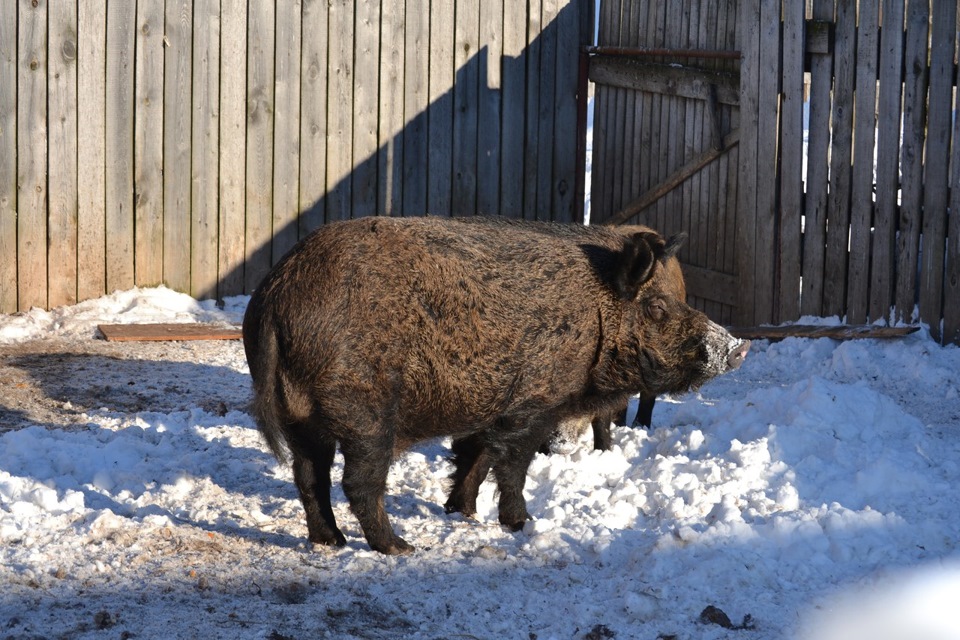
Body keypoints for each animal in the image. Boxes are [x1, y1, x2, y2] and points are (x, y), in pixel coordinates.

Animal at [242, 216, 752, 556]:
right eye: (658, 307)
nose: (739, 346)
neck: (594, 317)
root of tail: (275, 296)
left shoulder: (493, 407)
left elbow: (476, 456)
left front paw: (462, 512)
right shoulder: (534, 402)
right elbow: (512, 466)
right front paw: (521, 524)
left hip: (301, 415)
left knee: (308, 475)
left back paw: (331, 541)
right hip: (366, 411)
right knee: (356, 481)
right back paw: (400, 547)